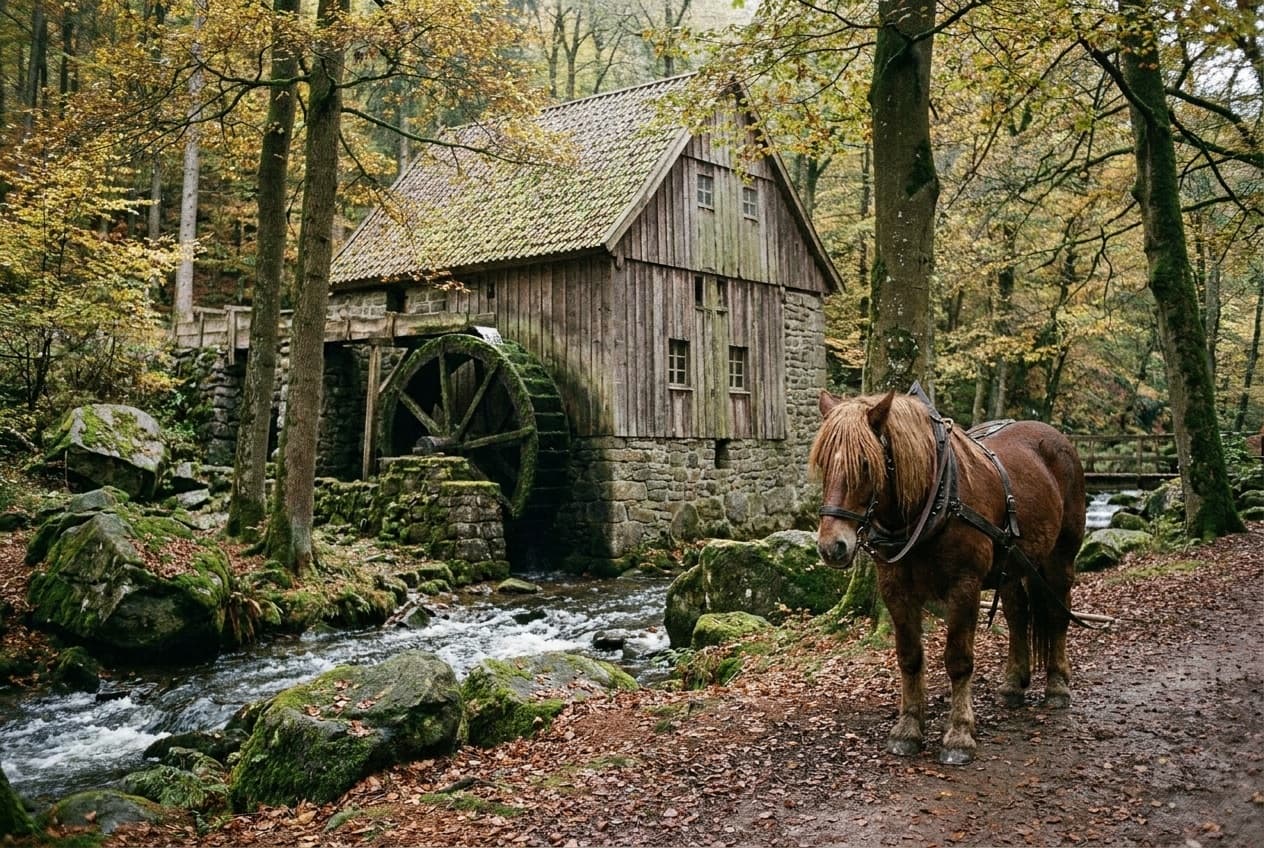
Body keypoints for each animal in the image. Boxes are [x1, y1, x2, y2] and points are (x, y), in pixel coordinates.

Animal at [811, 388, 1086, 765]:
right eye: (824, 463)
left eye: (865, 464)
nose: (832, 546)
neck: (932, 499)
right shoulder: (895, 589)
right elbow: (909, 657)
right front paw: (908, 729)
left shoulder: (964, 586)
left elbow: (958, 660)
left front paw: (958, 734)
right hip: (1013, 565)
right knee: (1018, 616)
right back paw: (1013, 684)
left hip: (1060, 557)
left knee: (1058, 614)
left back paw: (1057, 685)